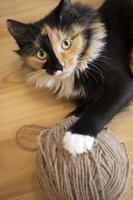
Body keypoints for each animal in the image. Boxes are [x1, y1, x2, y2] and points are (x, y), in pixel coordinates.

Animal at [6, 0, 133, 155]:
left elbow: (101, 107)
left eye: (66, 43)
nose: (59, 67)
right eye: (41, 54)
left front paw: (77, 137)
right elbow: (81, 110)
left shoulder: (123, 81)